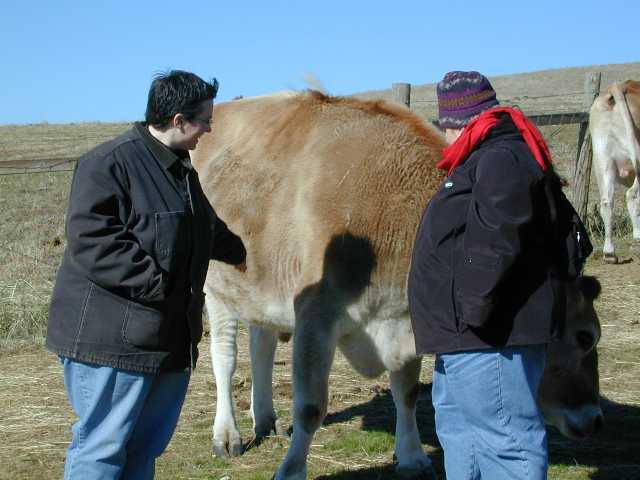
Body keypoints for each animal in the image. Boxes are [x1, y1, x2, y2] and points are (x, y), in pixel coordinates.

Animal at [191, 91, 604, 480]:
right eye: (585, 336)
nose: (595, 419)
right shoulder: (315, 316)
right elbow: (310, 406)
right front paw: (291, 469)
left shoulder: (405, 317)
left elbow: (405, 392)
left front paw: (413, 458)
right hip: (215, 288)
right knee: (225, 357)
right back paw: (227, 434)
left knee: (261, 345)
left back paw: (265, 419)